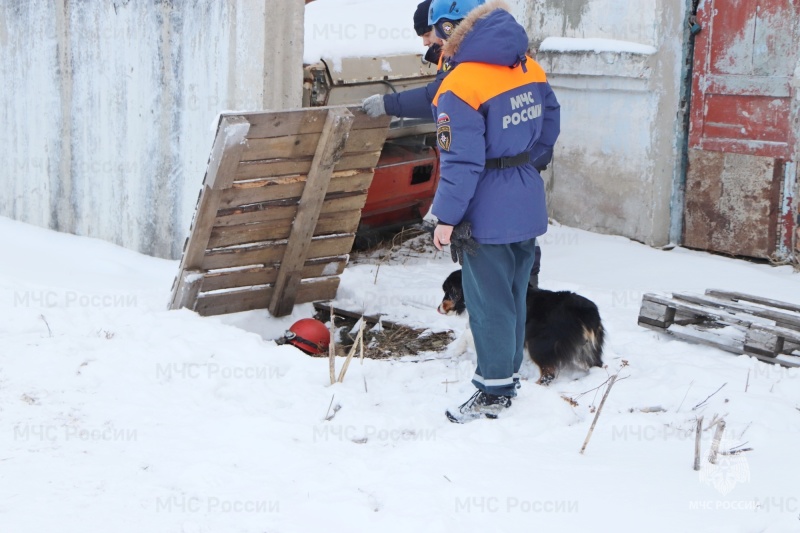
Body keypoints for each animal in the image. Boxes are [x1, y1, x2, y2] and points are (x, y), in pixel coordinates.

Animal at [440, 270, 604, 382]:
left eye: (448, 291)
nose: (438, 308)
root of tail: (585, 312)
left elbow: (467, 336)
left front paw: (454, 353)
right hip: (587, 349)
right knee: (596, 365)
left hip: (539, 344)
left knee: (548, 374)